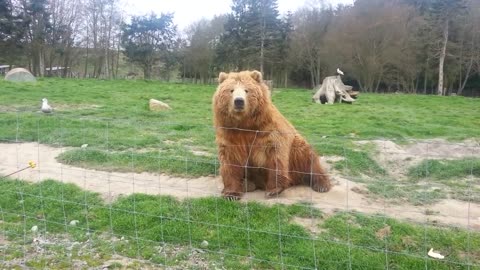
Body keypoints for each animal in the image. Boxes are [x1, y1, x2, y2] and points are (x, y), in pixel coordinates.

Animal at [213, 69, 330, 200]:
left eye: (246, 90)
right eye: (231, 90)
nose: (239, 101)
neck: (245, 124)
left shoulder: (268, 130)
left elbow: (275, 156)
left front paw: (273, 190)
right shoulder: (231, 133)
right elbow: (231, 159)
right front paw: (231, 193)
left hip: (296, 149)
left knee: (308, 158)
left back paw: (321, 184)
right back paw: (247, 184)